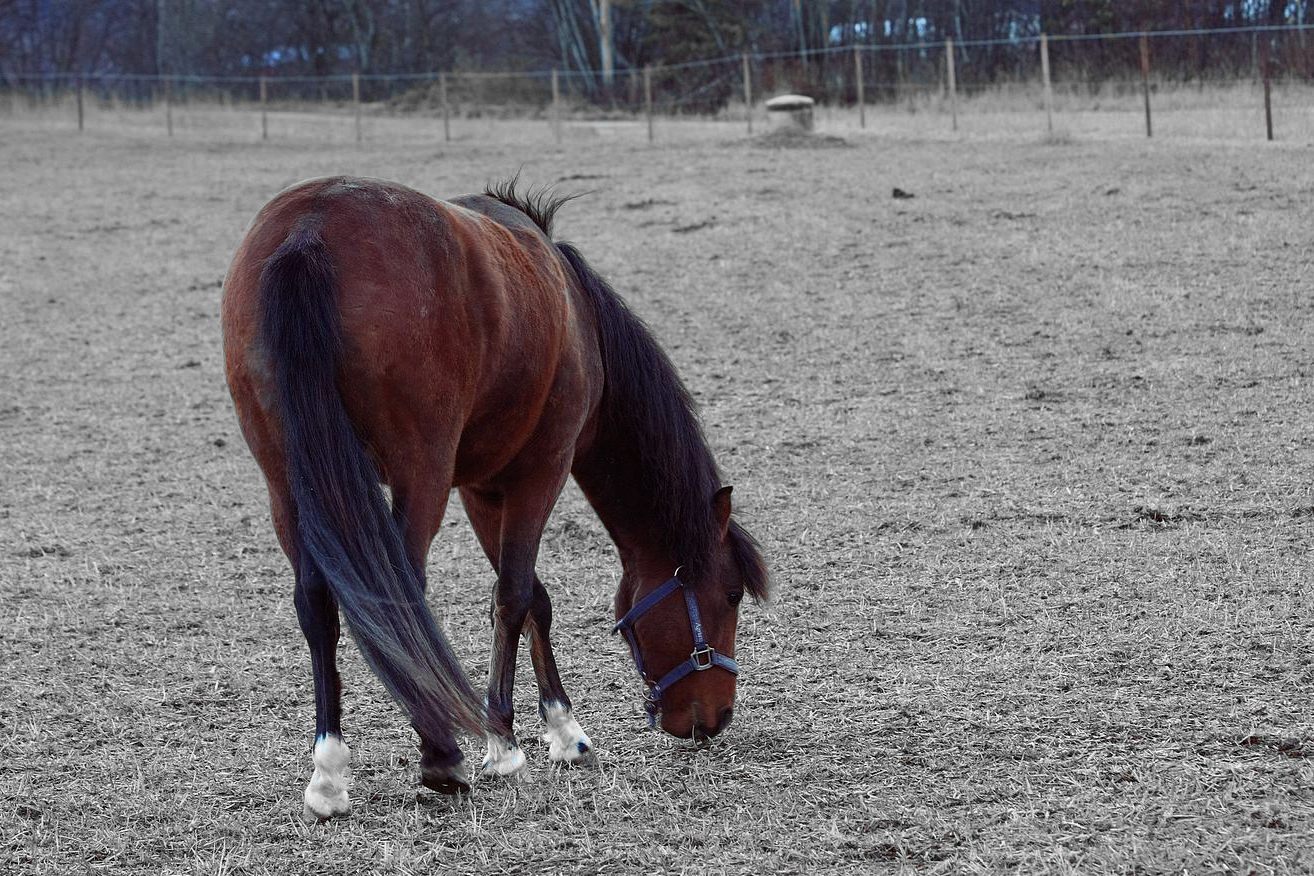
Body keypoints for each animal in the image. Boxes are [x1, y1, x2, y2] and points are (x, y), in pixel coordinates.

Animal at [219, 178, 767, 824]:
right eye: (729, 595)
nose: (717, 717)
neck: (575, 311)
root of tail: (310, 228)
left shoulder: (482, 486)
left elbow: (532, 600)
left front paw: (563, 728)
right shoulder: (541, 470)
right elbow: (513, 596)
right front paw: (503, 742)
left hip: (286, 480)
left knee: (316, 603)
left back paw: (329, 769)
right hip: (419, 472)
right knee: (398, 596)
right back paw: (441, 756)